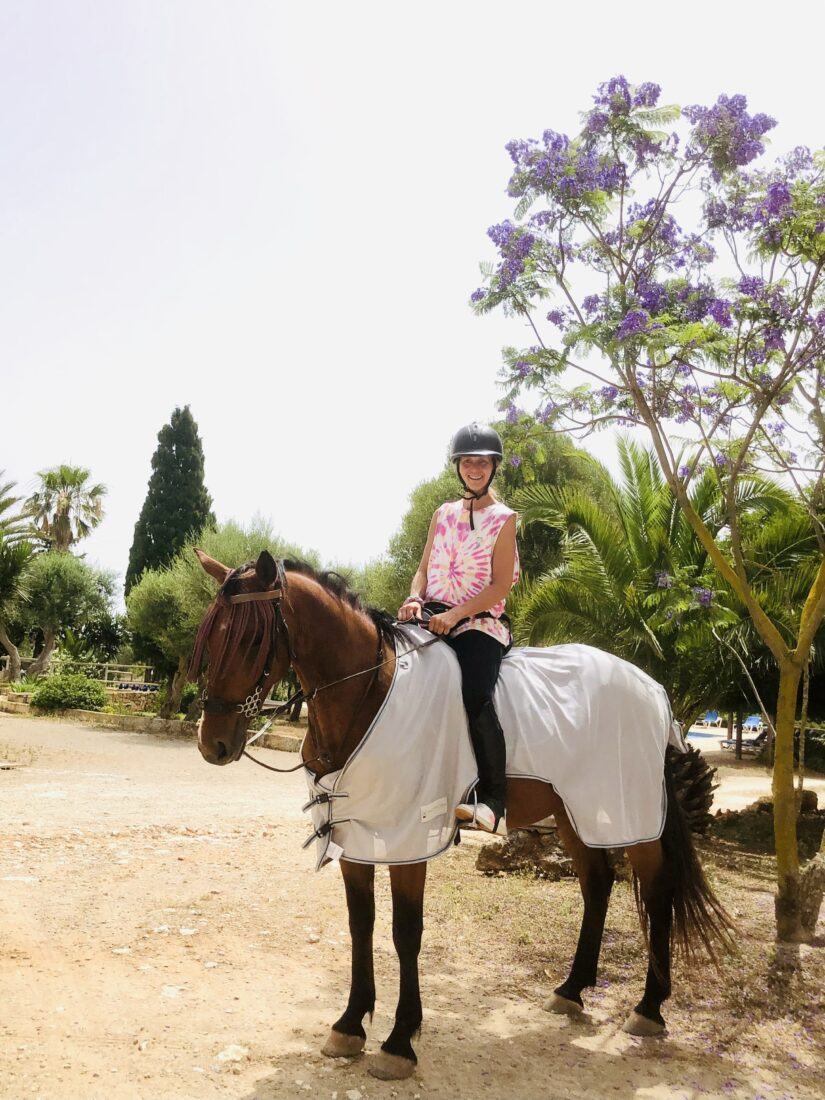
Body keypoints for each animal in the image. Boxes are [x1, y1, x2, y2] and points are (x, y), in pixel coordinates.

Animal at [190, 545, 734, 1078]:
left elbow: (405, 933)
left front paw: (399, 1041)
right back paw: (571, 990)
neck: (369, 693)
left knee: (657, 892)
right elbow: (360, 924)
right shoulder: (356, 833)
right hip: (573, 812)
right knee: (597, 885)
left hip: (631, 814)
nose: (213, 744)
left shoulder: (408, 839)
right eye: (211, 637)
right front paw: (349, 1025)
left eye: (251, 640)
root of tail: (653, 690)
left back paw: (649, 1008)